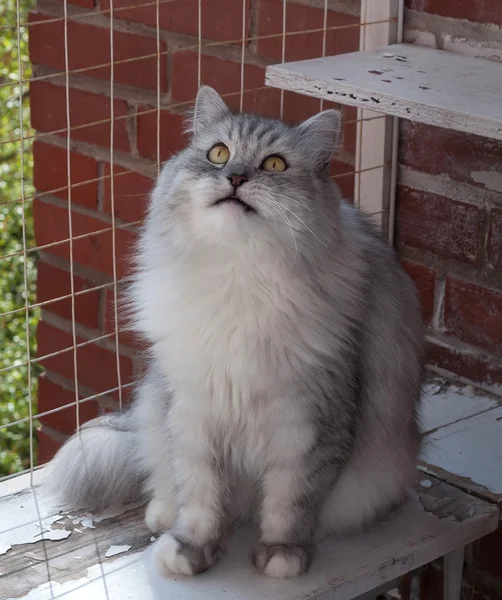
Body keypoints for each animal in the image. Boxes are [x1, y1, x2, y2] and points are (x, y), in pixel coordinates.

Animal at [47, 86, 424, 580]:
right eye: (219, 154)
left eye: (275, 165)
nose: (237, 177)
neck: (238, 278)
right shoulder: (195, 414)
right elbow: (200, 498)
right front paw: (190, 551)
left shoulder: (306, 424)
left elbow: (289, 502)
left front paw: (282, 555)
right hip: (157, 404)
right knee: (162, 476)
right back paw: (162, 516)